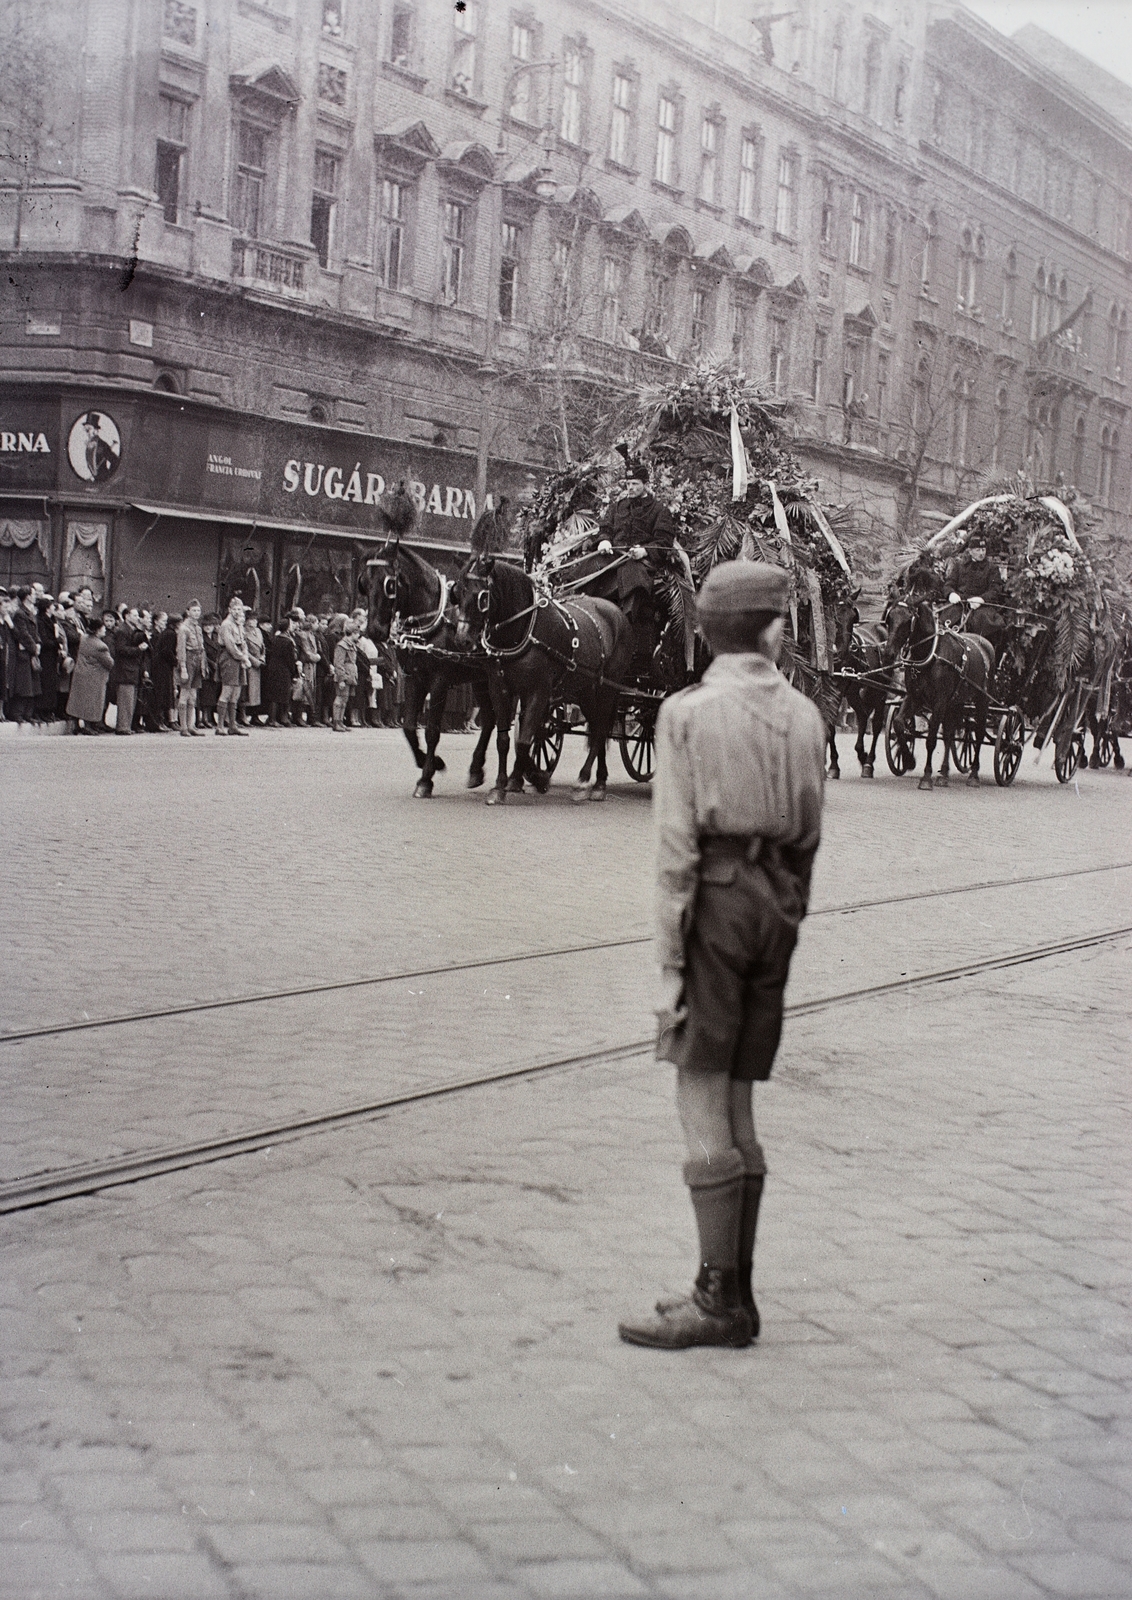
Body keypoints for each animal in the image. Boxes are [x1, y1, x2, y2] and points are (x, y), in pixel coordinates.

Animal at [362, 544, 495, 800]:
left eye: (389, 584)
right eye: (363, 582)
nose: (374, 631)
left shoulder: (439, 681)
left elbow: (432, 730)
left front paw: (426, 779)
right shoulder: (415, 679)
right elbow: (409, 728)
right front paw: (432, 762)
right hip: (481, 680)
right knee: (490, 720)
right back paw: (476, 770)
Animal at [460, 556, 636, 806]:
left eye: (482, 595)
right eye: (458, 590)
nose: (463, 638)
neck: (525, 629)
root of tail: (617, 612)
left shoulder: (539, 691)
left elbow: (523, 742)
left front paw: (539, 777)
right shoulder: (500, 688)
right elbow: (505, 740)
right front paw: (501, 786)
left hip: (607, 687)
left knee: (601, 728)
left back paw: (588, 781)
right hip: (585, 689)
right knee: (596, 728)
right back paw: (597, 781)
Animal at [831, 598, 895, 777]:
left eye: (854, 617)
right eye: (834, 614)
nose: (842, 651)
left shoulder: (837, 689)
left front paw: (833, 765)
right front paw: (832, 765)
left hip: (879, 690)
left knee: (876, 723)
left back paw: (868, 763)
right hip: (854, 691)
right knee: (862, 715)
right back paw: (861, 753)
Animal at [882, 601, 991, 787]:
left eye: (908, 620)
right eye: (889, 618)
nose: (888, 653)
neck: (930, 654)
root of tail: (984, 642)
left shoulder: (939, 702)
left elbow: (931, 739)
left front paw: (926, 777)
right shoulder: (914, 697)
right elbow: (898, 723)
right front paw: (909, 760)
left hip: (981, 700)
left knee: (979, 733)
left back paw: (974, 775)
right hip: (955, 703)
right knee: (949, 735)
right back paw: (944, 774)